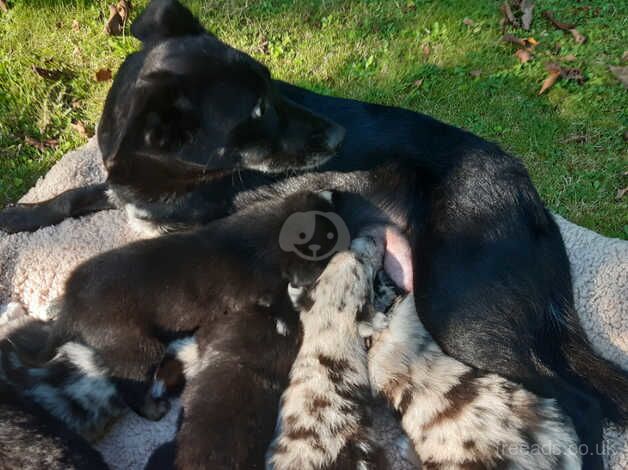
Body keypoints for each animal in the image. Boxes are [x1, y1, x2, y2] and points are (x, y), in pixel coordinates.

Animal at [0, 0, 624, 466]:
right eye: (255, 112)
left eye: (273, 88)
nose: (341, 136)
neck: (161, 175)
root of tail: (527, 190)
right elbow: (78, 194)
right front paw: (20, 215)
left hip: (461, 309)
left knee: (582, 402)